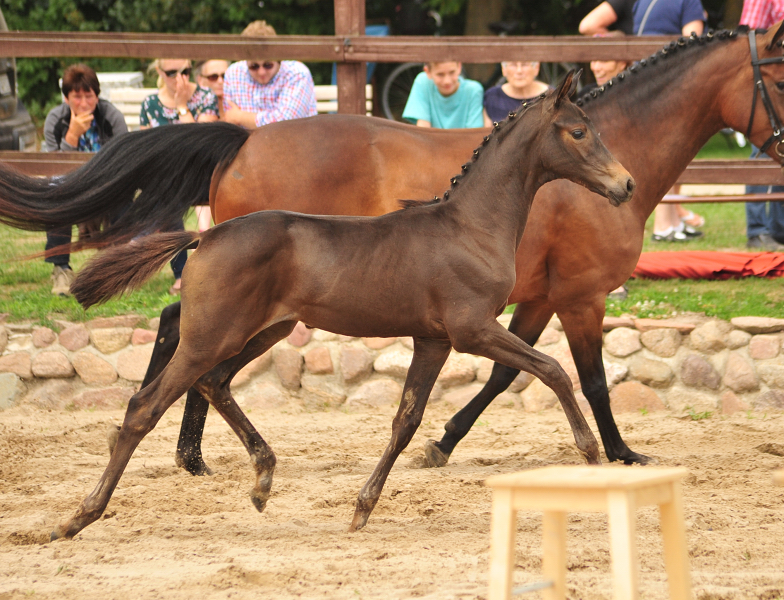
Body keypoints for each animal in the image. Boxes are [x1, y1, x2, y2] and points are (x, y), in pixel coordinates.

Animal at [52, 71, 632, 540]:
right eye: (578, 132)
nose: (625, 184)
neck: (470, 226)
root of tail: (206, 237)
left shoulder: (434, 340)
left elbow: (406, 420)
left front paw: (362, 508)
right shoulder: (473, 329)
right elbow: (554, 370)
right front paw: (592, 453)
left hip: (263, 331)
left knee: (213, 383)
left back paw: (263, 479)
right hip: (210, 336)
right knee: (144, 407)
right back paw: (77, 517)